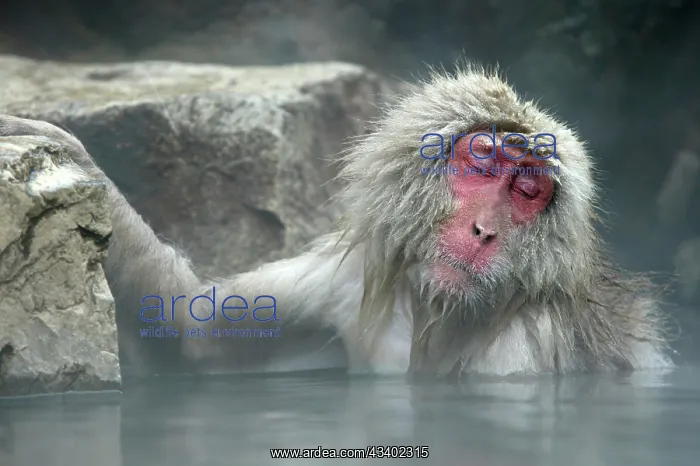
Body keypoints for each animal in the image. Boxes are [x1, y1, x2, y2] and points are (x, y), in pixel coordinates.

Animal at [0, 63, 674, 380]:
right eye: (482, 161)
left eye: (528, 191)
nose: (485, 232)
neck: (439, 314)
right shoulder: (347, 278)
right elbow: (192, 329)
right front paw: (72, 153)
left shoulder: (529, 343)